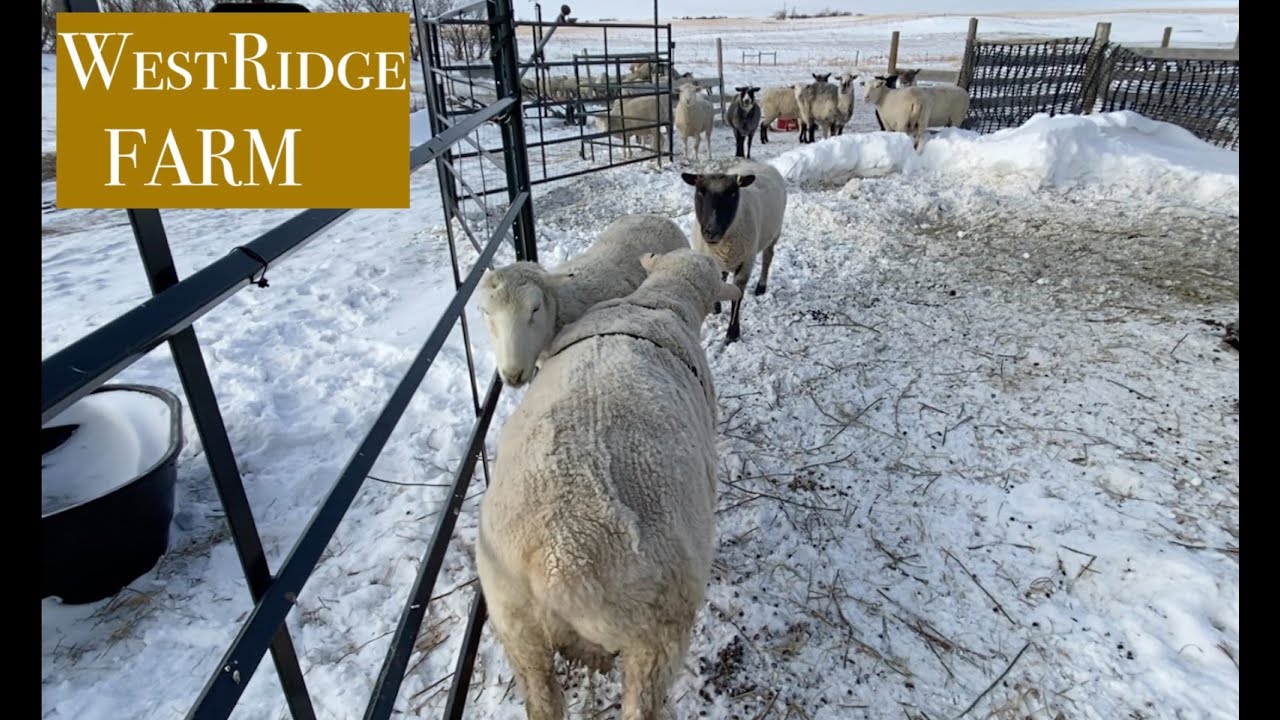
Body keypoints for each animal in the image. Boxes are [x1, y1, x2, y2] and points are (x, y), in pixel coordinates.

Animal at [681, 158, 787, 343]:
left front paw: (733, 332)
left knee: (768, 257)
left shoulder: (745, 264)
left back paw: (761, 286)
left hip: (774, 233)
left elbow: (737, 295)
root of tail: (762, 164)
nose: (711, 231)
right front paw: (715, 307)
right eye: (700, 192)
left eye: (732, 194)